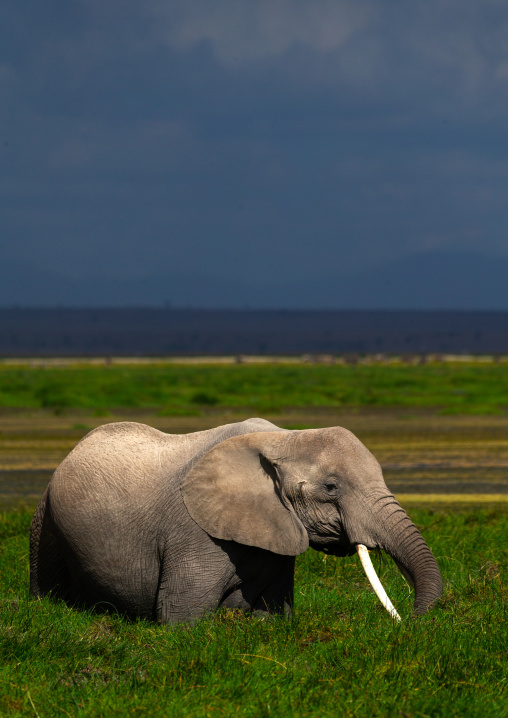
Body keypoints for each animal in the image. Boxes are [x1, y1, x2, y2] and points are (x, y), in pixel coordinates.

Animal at [30, 418, 442, 624]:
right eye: (331, 487)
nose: (411, 621)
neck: (283, 438)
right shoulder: (194, 533)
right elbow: (181, 617)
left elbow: (276, 614)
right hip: (45, 518)